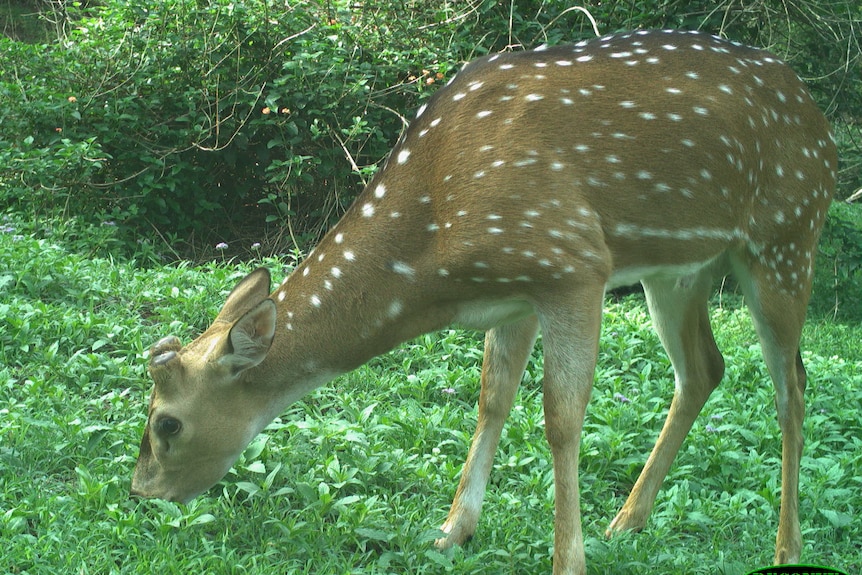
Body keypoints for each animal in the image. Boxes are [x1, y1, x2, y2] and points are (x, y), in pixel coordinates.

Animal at [132, 31, 840, 575]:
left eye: (167, 423)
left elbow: (560, 418)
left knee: (792, 384)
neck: (437, 249)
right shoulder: (514, 296)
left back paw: (786, 549)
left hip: (787, 236)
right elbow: (492, 399)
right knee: (703, 368)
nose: (141, 492)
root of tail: (822, 126)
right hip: (678, 268)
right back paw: (626, 521)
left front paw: (566, 560)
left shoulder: (573, 262)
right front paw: (452, 531)